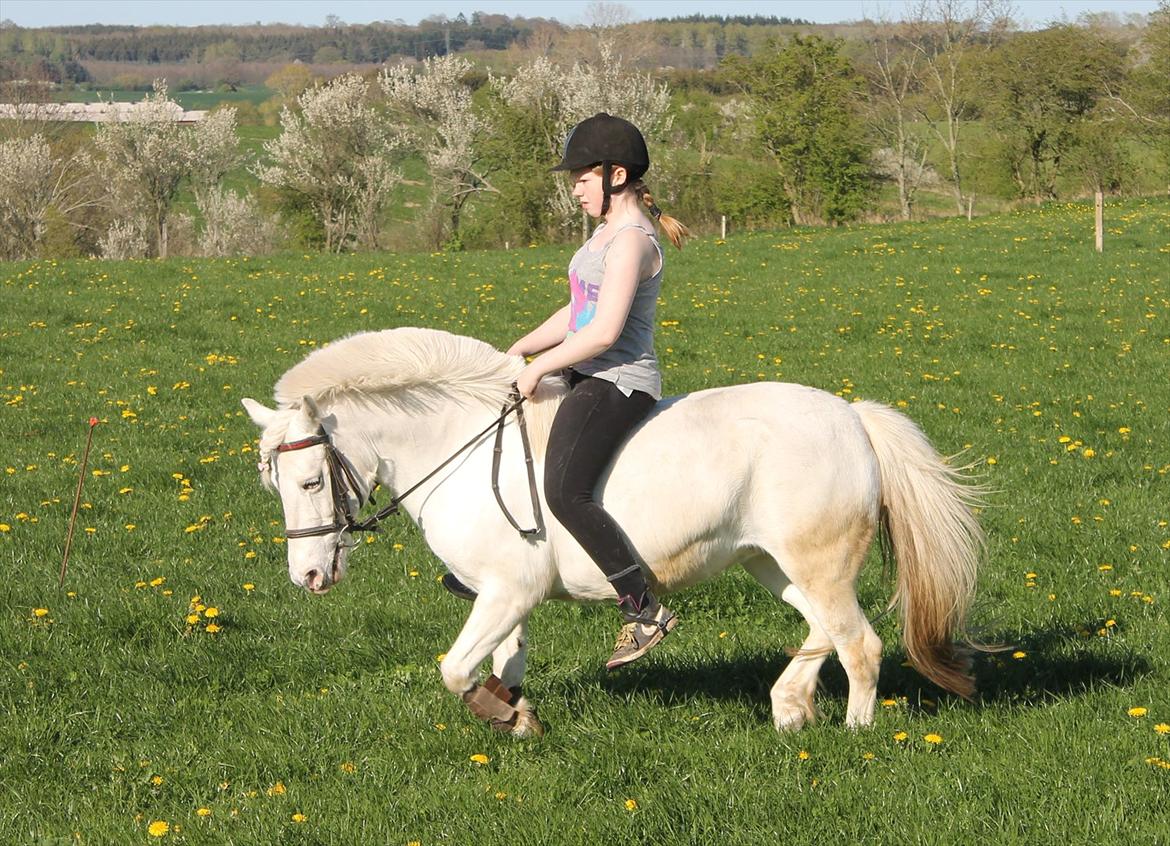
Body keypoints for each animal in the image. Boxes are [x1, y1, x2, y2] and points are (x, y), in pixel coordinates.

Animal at [244, 327, 987, 739]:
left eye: (309, 482)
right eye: (275, 486)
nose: (308, 577)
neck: (459, 446)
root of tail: (854, 417)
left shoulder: (507, 592)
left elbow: (456, 669)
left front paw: (497, 713)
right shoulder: (504, 597)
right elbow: (505, 661)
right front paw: (519, 717)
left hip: (818, 560)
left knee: (858, 642)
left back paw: (855, 733)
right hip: (771, 562)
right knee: (821, 629)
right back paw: (788, 706)